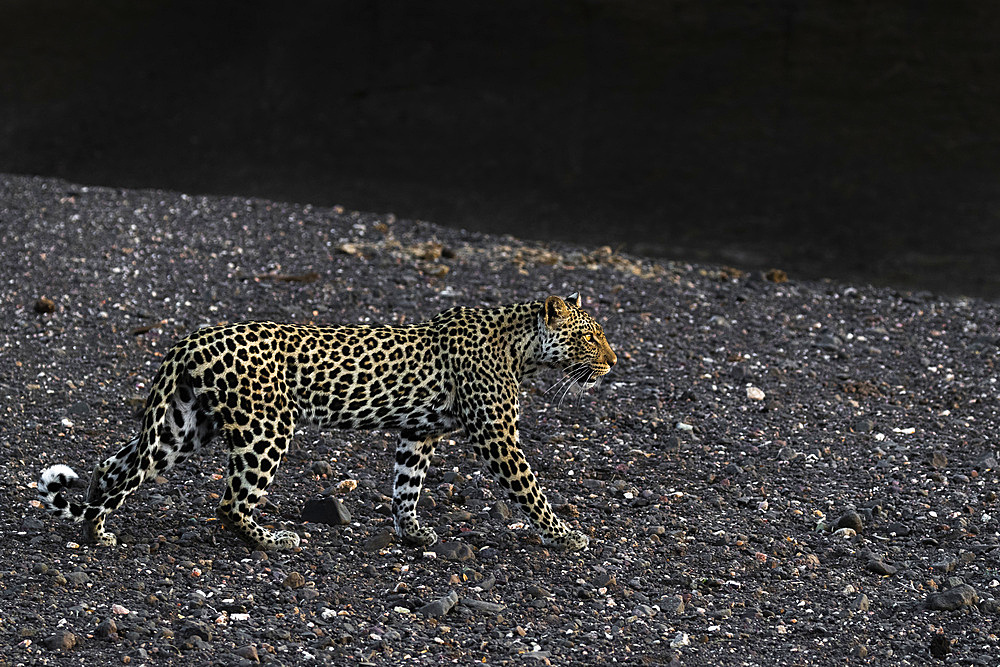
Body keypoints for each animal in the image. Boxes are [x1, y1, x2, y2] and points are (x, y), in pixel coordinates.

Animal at [39, 294, 612, 552]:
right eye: (589, 337)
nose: (612, 363)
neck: (522, 349)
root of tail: (187, 340)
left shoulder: (418, 433)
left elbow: (407, 485)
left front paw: (413, 533)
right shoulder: (497, 437)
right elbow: (531, 489)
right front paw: (566, 535)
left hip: (184, 426)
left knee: (114, 465)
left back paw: (95, 529)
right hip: (266, 429)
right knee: (229, 502)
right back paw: (272, 541)